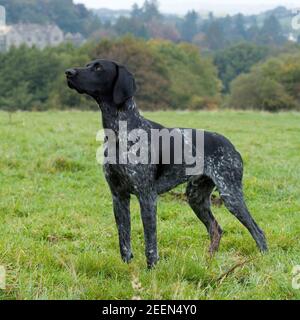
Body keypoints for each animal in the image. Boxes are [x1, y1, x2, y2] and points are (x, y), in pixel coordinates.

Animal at [65, 59, 268, 268]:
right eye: (88, 64)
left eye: (98, 68)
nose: (68, 72)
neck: (120, 132)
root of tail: (230, 145)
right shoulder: (118, 196)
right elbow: (124, 242)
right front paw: (127, 269)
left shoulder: (147, 196)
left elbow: (150, 242)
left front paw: (151, 270)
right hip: (195, 197)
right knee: (216, 229)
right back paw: (208, 263)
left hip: (230, 195)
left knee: (258, 232)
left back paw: (262, 259)